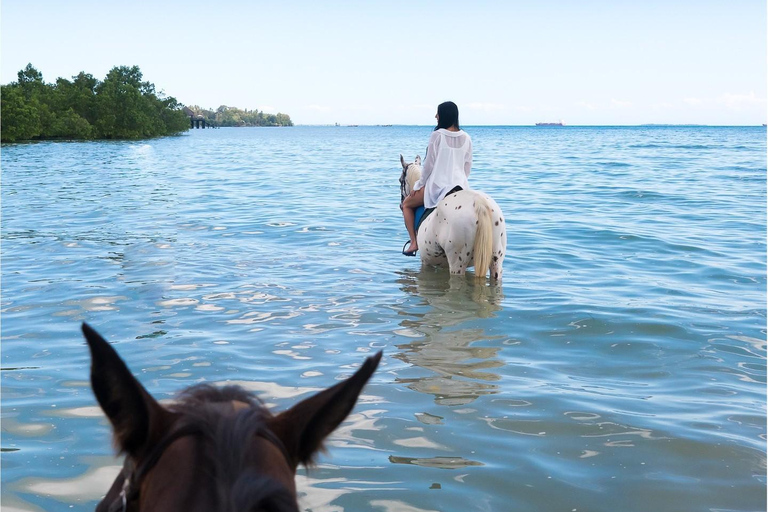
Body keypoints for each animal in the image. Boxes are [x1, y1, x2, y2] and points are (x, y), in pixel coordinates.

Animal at [400, 154, 508, 282]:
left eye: (400, 180)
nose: (401, 204)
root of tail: (479, 203)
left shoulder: (425, 261)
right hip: (496, 261)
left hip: (457, 263)